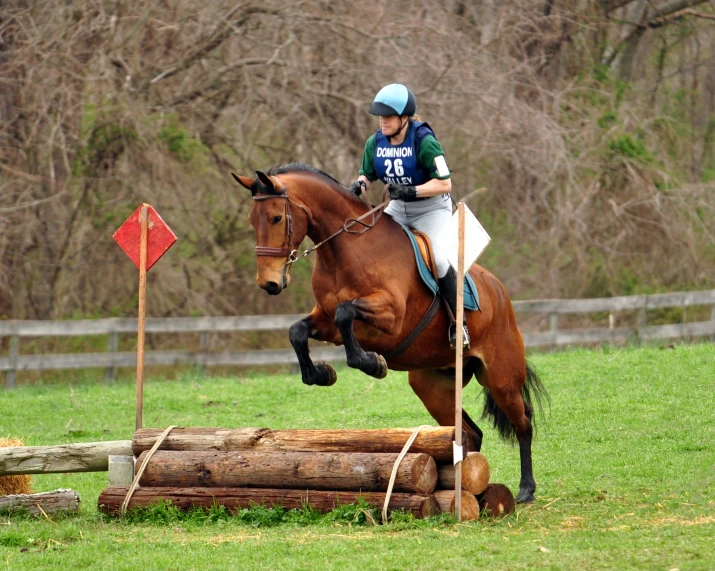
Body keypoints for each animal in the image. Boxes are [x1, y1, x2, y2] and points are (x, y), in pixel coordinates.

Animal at [231, 163, 548, 502]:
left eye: (276, 218)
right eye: (252, 219)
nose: (269, 283)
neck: (347, 250)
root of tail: (499, 290)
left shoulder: (390, 316)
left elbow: (346, 313)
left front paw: (373, 364)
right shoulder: (325, 321)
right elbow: (298, 331)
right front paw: (321, 373)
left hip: (501, 378)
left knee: (523, 422)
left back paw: (526, 489)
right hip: (433, 387)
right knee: (468, 434)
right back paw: (468, 490)